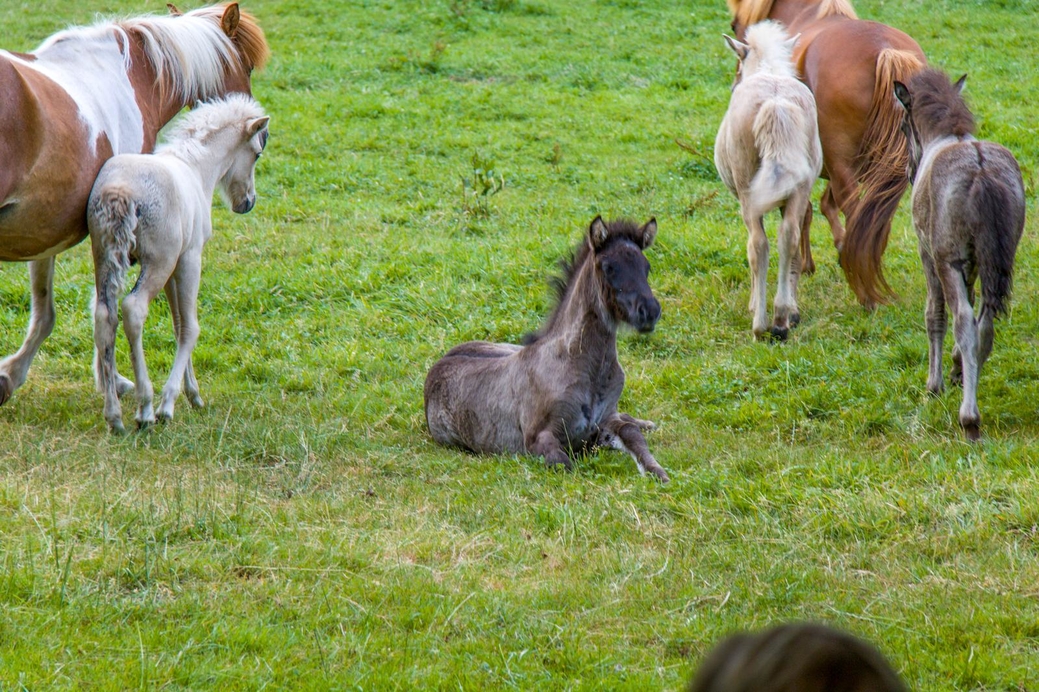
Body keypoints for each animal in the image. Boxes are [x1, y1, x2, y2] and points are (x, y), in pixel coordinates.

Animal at [1, 2, 268, 405]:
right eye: (247, 66)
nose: (262, 130)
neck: (131, 79)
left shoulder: (44, 227)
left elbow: (48, 311)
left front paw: (11, 375)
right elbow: (111, 307)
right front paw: (115, 381)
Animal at [425, 216, 669, 480]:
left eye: (646, 267)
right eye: (608, 267)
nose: (649, 311)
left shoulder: (604, 422)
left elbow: (633, 435)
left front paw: (660, 473)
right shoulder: (538, 438)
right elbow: (565, 465)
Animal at [723, 0, 926, 305]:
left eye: (735, 26)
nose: (736, 84)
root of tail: (886, 50)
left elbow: (805, 212)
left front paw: (804, 264)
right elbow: (825, 205)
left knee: (854, 214)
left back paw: (864, 291)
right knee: (876, 222)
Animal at [897, 68, 1026, 436]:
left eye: (903, 127)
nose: (909, 173)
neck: (948, 137)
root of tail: (980, 168)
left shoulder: (930, 255)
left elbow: (934, 315)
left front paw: (934, 384)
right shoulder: (974, 264)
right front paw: (957, 369)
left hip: (948, 261)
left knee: (965, 322)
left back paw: (969, 418)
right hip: (995, 262)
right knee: (984, 325)